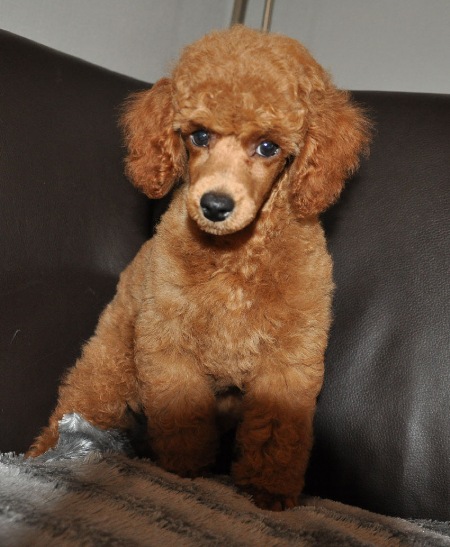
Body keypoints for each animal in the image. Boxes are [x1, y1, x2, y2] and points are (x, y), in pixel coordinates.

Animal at [28, 25, 370, 511]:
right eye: (200, 136)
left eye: (268, 146)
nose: (215, 206)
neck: (234, 256)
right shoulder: (168, 339)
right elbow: (182, 411)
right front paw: (186, 465)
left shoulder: (289, 356)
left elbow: (278, 427)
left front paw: (269, 487)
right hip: (110, 362)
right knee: (78, 403)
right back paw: (45, 452)